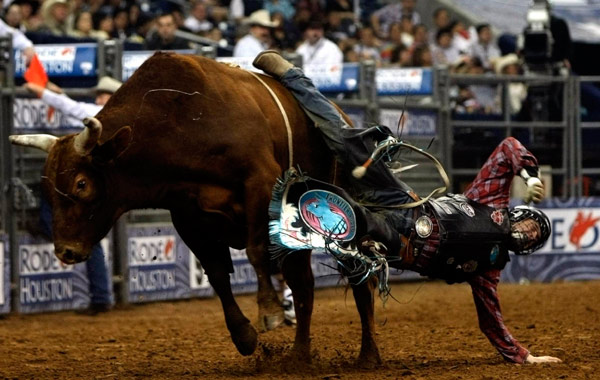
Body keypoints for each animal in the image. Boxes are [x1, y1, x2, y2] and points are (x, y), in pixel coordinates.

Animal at [9, 52, 382, 364]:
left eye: (81, 184)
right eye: (46, 186)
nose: (66, 251)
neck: (182, 122)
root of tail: (346, 118)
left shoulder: (260, 184)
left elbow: (256, 250)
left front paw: (269, 311)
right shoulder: (188, 216)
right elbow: (215, 273)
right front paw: (244, 336)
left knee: (358, 280)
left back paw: (368, 355)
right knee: (304, 284)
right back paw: (299, 357)